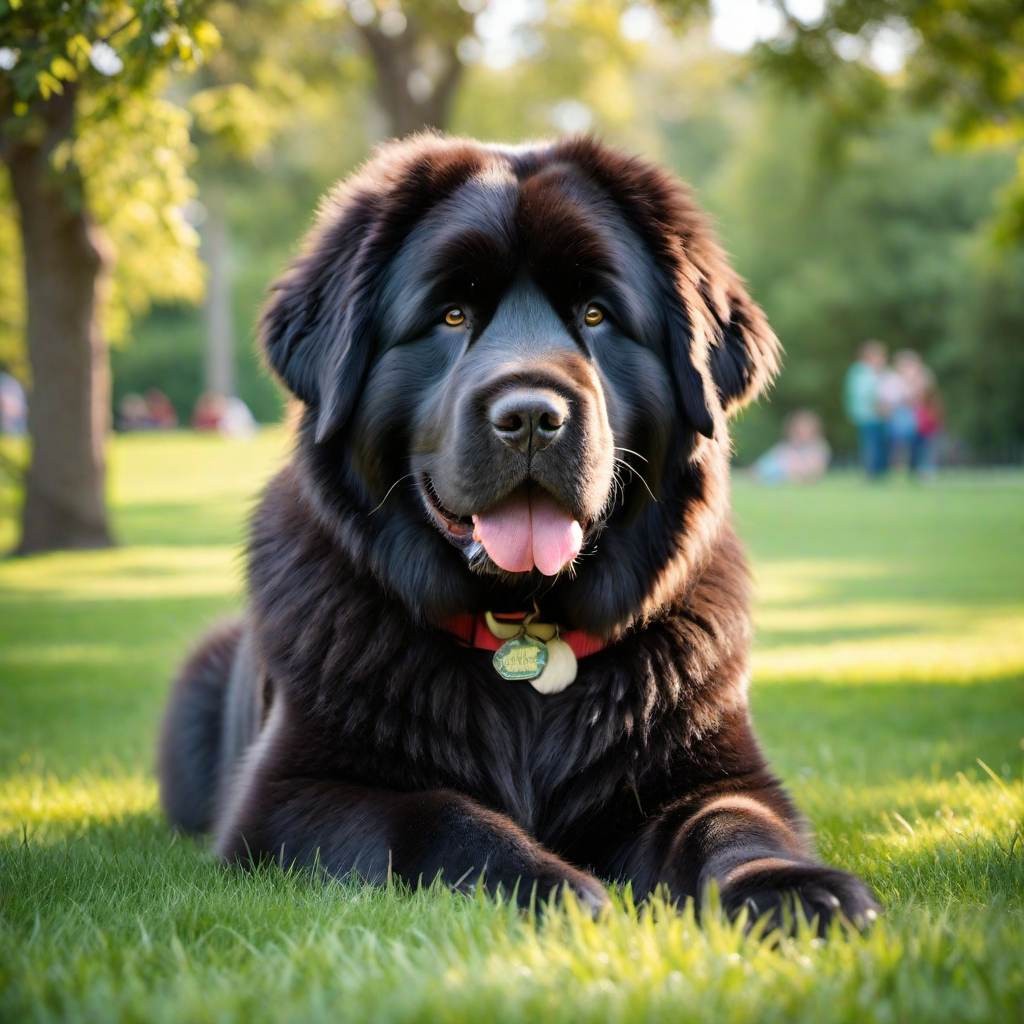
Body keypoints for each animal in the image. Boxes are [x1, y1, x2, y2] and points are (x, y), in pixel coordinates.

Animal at [159, 132, 880, 933]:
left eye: (595, 314)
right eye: (450, 316)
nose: (532, 417)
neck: (522, 631)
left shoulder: (717, 770)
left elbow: (728, 823)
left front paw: (794, 890)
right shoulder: (291, 792)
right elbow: (437, 816)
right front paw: (551, 884)